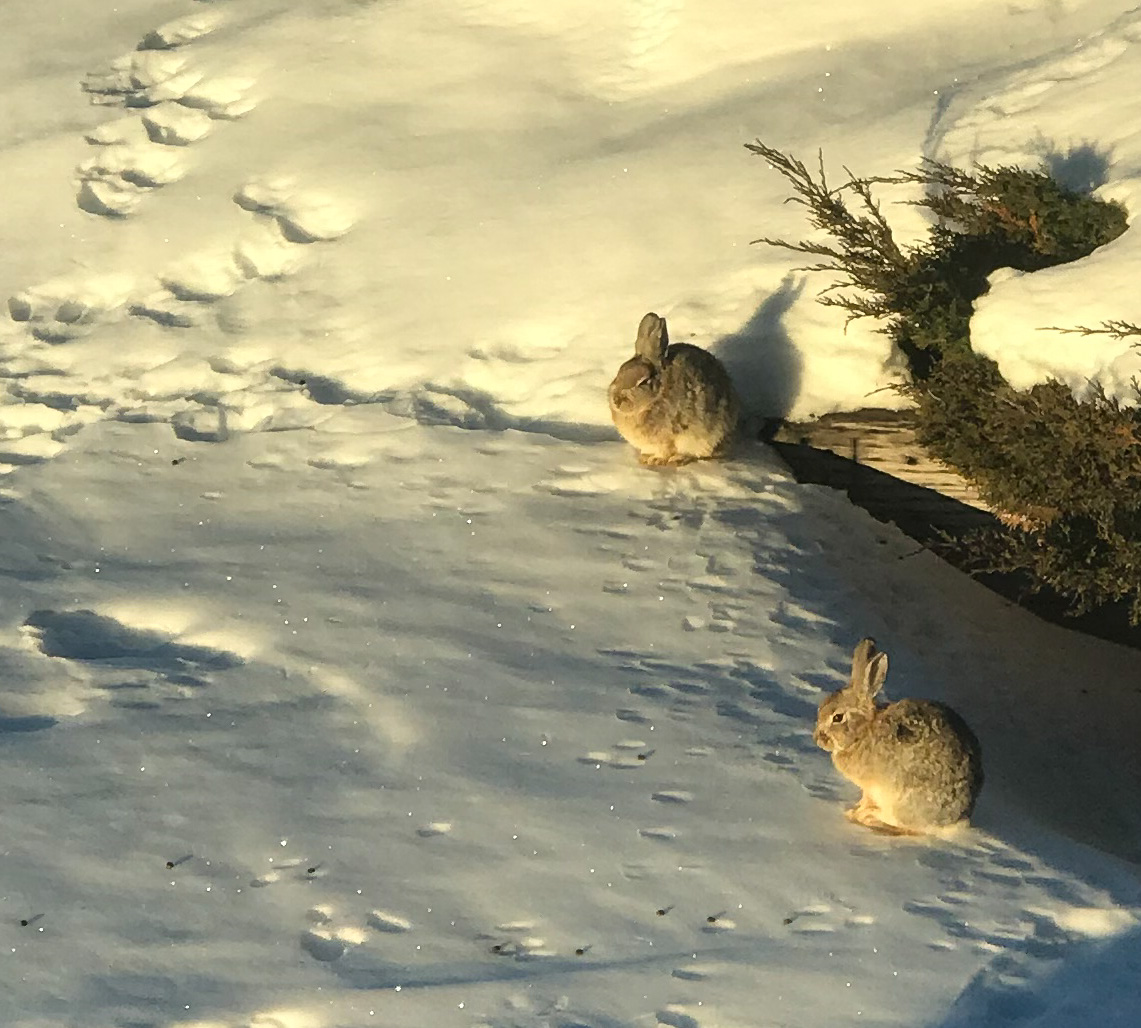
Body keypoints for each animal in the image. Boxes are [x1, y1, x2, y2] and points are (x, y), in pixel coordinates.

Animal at [608, 312, 740, 466]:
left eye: (643, 381)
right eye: (620, 371)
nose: (616, 400)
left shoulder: (668, 438)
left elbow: (665, 450)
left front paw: (656, 460)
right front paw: (644, 457)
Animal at [813, 638, 983, 836]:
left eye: (837, 718)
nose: (817, 739)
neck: (863, 731)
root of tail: (957, 819)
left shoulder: (873, 788)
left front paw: (856, 813)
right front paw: (854, 809)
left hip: (902, 801)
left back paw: (870, 817)